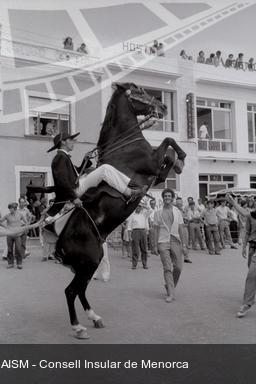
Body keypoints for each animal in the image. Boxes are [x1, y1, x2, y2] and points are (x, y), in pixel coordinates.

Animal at [56, 82, 186, 338]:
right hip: (88, 262)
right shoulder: (152, 163)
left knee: (80, 290)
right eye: (139, 90)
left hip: (89, 264)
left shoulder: (154, 170)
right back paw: (78, 327)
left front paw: (177, 163)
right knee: (70, 291)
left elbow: (167, 152)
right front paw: (181, 159)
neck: (125, 145)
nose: (162, 106)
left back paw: (94, 318)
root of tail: (61, 243)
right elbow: (167, 144)